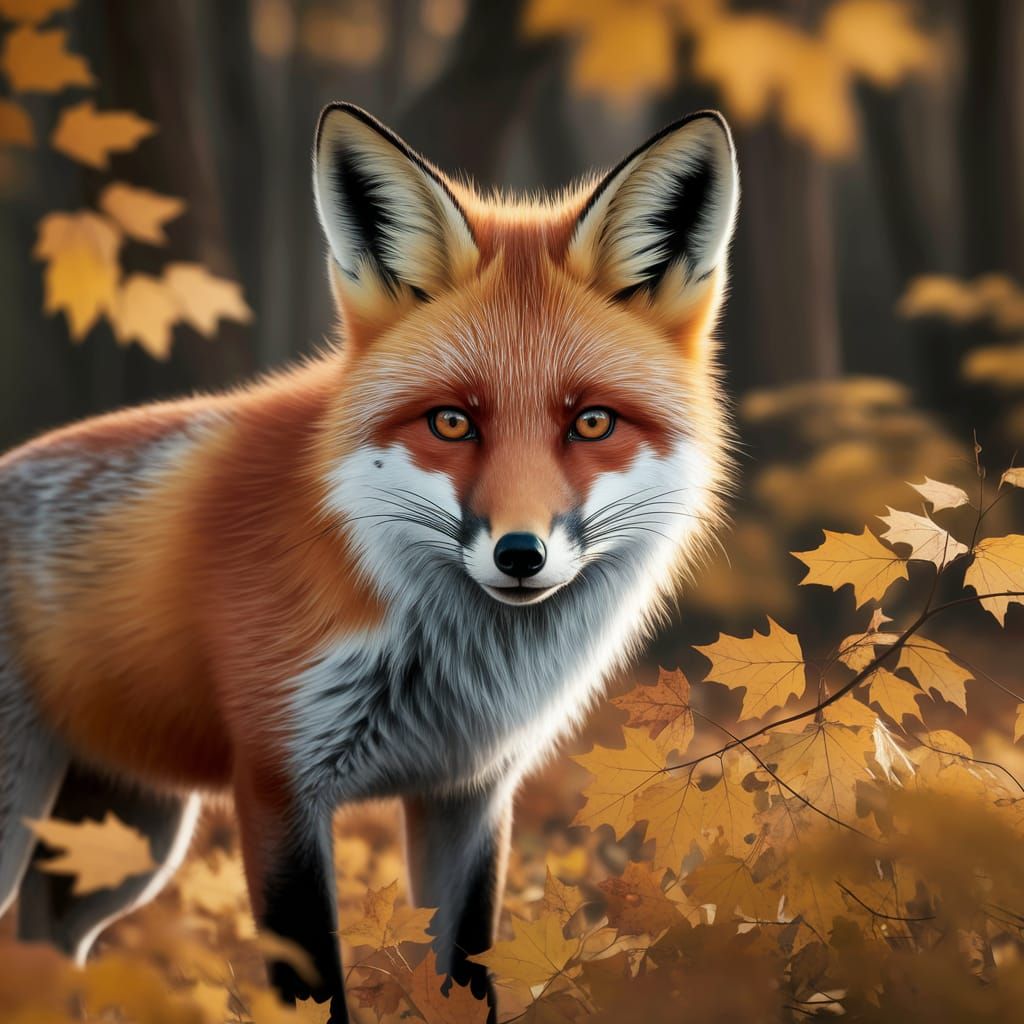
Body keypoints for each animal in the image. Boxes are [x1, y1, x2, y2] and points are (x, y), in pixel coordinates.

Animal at [0, 103, 738, 1020]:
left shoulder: (468, 794)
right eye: (452, 422)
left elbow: (467, 977)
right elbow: (313, 989)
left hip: (121, 849)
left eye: (592, 423)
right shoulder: (277, 785)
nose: (520, 553)